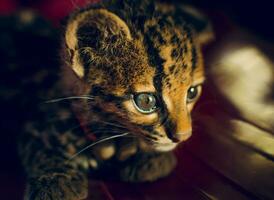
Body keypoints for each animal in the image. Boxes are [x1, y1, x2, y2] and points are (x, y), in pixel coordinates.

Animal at [15, 0, 212, 199]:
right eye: (146, 101)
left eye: (192, 92)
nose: (183, 137)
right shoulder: (34, 116)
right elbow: (41, 143)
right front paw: (55, 180)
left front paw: (148, 157)